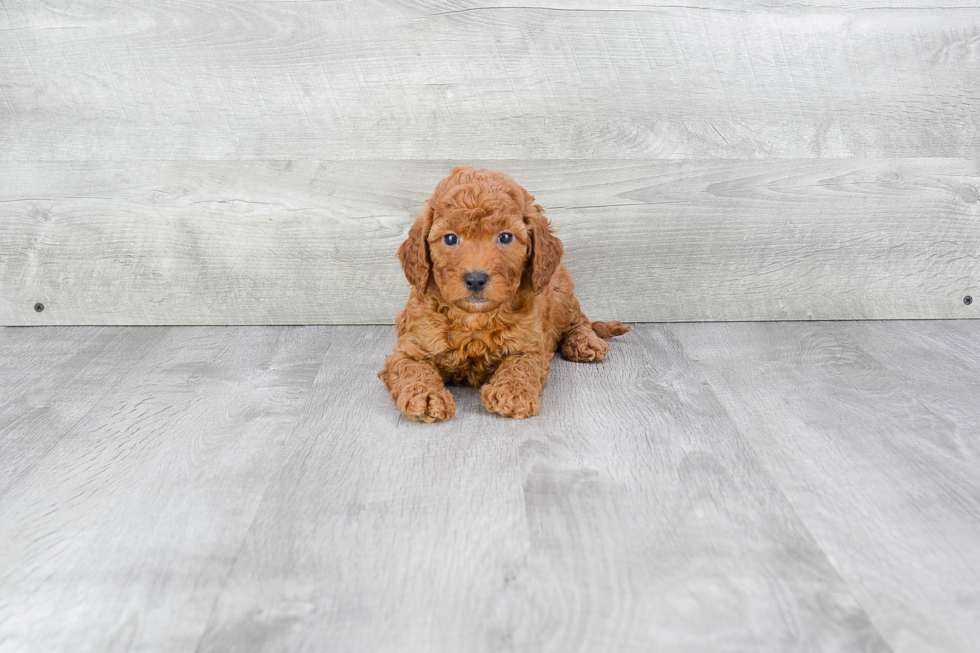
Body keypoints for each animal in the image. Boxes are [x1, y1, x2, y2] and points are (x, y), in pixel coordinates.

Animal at [378, 167, 632, 422]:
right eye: (450, 238)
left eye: (506, 237)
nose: (475, 279)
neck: (474, 318)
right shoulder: (410, 347)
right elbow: (412, 367)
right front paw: (426, 396)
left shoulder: (529, 345)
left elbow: (520, 365)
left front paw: (513, 393)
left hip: (562, 293)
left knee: (579, 320)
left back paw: (585, 342)